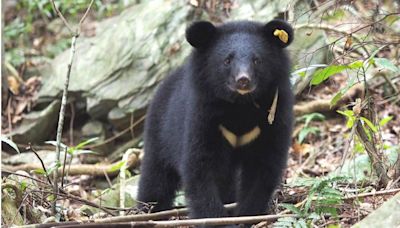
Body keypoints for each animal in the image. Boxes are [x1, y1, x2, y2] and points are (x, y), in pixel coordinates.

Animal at [137, 19, 294, 226]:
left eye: (257, 60)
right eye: (227, 60)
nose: (243, 80)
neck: (240, 106)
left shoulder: (272, 120)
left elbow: (263, 167)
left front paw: (246, 216)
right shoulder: (204, 118)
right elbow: (201, 168)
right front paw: (217, 219)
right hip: (161, 133)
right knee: (155, 177)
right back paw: (148, 212)